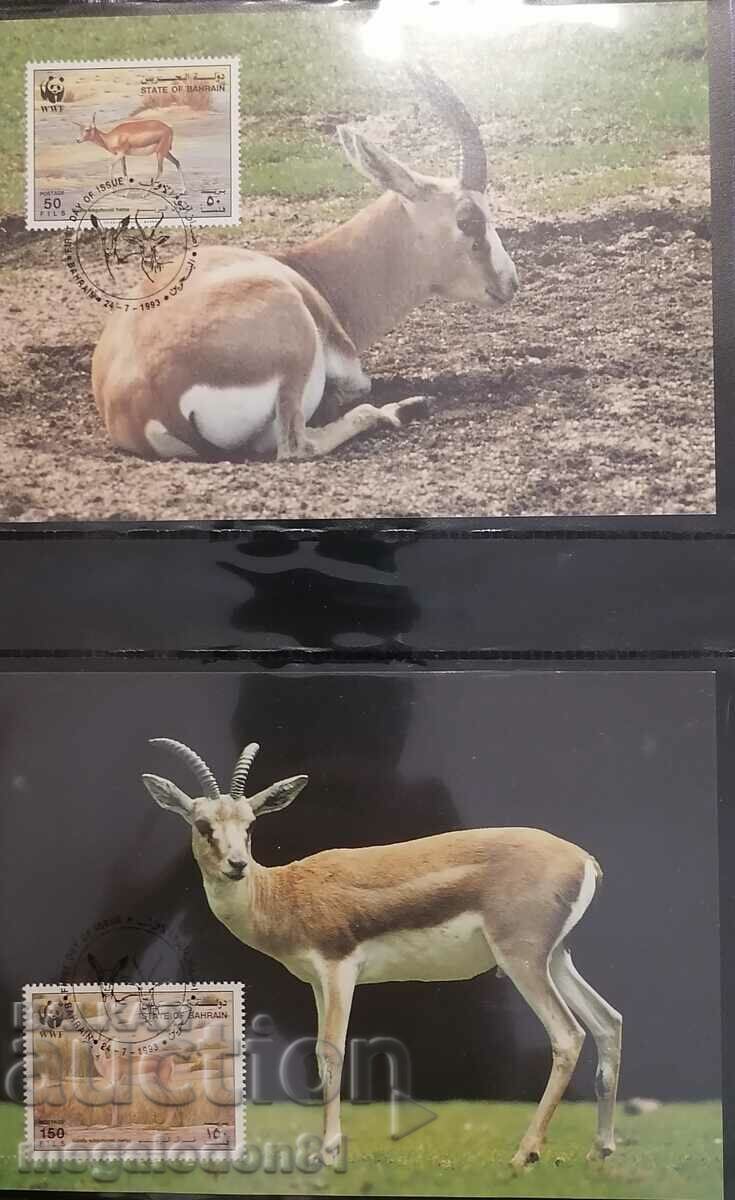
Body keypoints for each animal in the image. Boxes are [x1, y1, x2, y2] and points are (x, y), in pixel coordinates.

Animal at [92, 63, 520, 463]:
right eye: (468, 220)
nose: (510, 282)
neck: (303, 270)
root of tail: (153, 397)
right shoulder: (347, 367)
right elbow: (356, 387)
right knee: (298, 444)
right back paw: (402, 409)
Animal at [142, 737, 622, 1170]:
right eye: (204, 825)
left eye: (249, 826)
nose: (237, 865)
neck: (282, 893)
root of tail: (583, 859)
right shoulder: (318, 982)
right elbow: (319, 1054)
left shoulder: (338, 969)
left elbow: (331, 1052)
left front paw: (329, 1151)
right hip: (555, 958)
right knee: (608, 1022)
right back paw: (599, 1150)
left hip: (522, 960)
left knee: (568, 1035)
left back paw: (526, 1153)